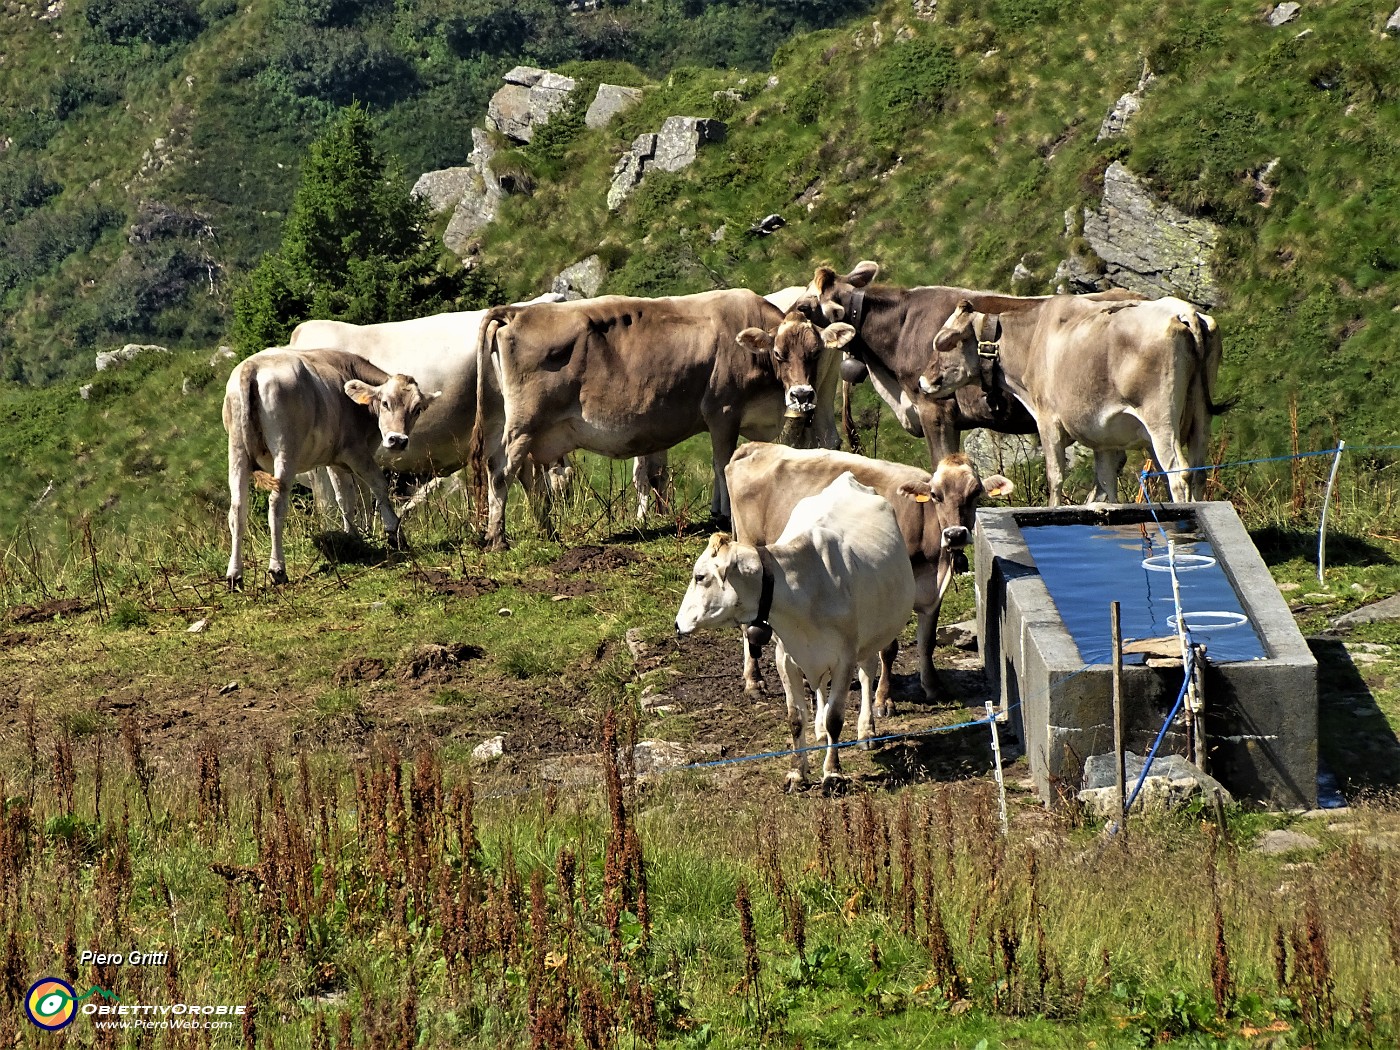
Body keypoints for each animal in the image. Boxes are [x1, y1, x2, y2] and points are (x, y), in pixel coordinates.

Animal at [224, 347, 436, 588]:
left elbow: (345, 497)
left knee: (237, 508)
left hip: (237, 450)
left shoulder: (334, 460)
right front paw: (395, 533)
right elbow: (378, 485)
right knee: (276, 504)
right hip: (285, 449)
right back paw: (278, 569)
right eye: (385, 403)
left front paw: (353, 536)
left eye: (417, 409)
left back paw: (234, 575)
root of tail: (253, 365)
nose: (398, 440)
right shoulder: (355, 450)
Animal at [473, 289, 840, 551]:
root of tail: (517, 311)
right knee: (501, 472)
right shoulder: (722, 410)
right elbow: (721, 462)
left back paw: (547, 531)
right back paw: (497, 538)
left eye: (815, 353)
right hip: (523, 426)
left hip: (529, 431)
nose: (803, 395)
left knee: (525, 476)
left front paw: (717, 510)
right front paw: (723, 514)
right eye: (779, 353)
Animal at [672, 473, 912, 784]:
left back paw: (866, 730)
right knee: (820, 686)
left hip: (872, 635)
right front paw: (798, 772)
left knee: (867, 672)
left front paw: (832, 773)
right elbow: (795, 718)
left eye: (700, 577)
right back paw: (819, 730)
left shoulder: (845, 657)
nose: (677, 623)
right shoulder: (785, 657)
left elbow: (836, 717)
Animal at [728, 439, 1013, 711]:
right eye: (935, 495)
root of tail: (757, 446)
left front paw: (933, 687)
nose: (955, 534)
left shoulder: (933, 591)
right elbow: (888, 649)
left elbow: (927, 640)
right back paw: (754, 681)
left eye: (975, 492)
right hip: (750, 547)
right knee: (747, 623)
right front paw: (883, 700)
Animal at [918, 296, 1226, 506]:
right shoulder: (1105, 438)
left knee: (1178, 473)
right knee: (1198, 471)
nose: (922, 382)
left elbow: (1055, 477)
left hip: (1160, 419)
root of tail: (1182, 310)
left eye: (944, 345)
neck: (1031, 342)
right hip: (1201, 417)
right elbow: (1106, 485)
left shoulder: (1048, 421)